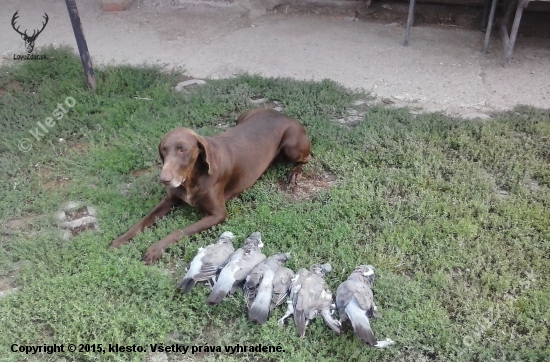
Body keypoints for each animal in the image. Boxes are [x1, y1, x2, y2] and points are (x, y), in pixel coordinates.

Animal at [110, 107, 312, 264]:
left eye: (182, 149)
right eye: (163, 150)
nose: (164, 179)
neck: (191, 178)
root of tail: (283, 114)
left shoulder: (218, 214)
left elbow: (178, 231)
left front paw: (154, 249)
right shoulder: (169, 200)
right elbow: (142, 221)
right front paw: (120, 240)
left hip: (292, 146)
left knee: (306, 158)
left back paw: (295, 172)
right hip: (242, 117)